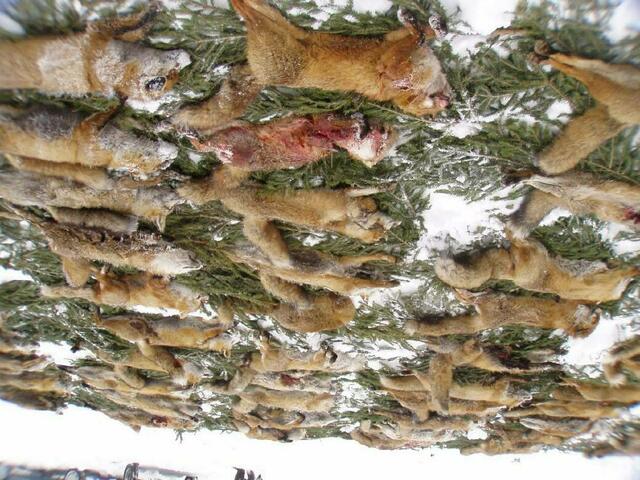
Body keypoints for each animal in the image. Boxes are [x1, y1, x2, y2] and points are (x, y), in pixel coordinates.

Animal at [42, 271, 204, 316]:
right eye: (197, 303)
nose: (204, 298)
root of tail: (96, 295)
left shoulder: (156, 287)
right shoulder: (153, 282)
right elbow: (156, 276)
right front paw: (168, 275)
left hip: (120, 292)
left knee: (103, 280)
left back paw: (100, 272)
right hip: (119, 284)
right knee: (106, 277)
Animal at [230, 0, 451, 117]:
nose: (448, 100)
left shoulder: (392, 74)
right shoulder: (389, 54)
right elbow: (419, 35)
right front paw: (423, 24)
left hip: (273, 25)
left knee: (251, 10)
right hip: (277, 43)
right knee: (248, 11)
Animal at [529, 41, 640, 175]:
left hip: (604, 77)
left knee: (577, 67)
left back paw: (544, 56)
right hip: (603, 79)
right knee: (579, 69)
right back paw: (547, 55)